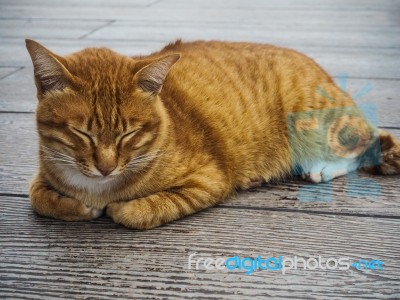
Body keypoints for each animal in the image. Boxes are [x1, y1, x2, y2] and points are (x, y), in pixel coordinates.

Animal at [25, 38, 400, 229]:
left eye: (128, 134)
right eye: (81, 133)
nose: (106, 168)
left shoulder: (208, 181)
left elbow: (136, 212)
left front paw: (115, 208)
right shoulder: (41, 178)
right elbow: (41, 199)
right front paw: (79, 205)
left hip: (317, 127)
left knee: (365, 144)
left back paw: (322, 168)